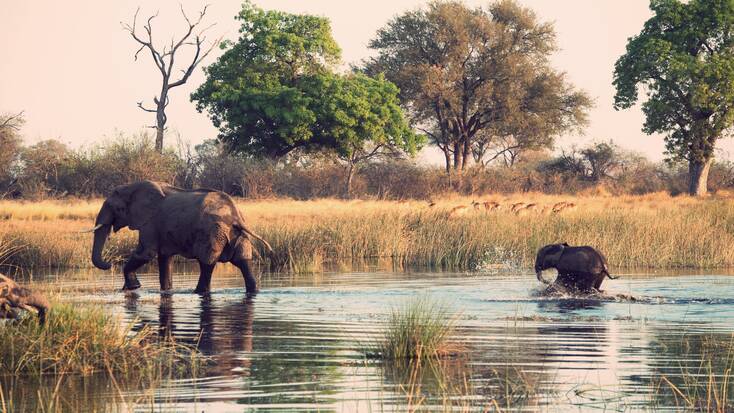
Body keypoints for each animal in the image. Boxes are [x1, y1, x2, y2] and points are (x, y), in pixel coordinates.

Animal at [88, 180, 274, 292]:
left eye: (115, 208)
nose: (110, 263)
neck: (132, 187)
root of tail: (235, 216)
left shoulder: (150, 222)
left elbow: (146, 253)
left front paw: (133, 287)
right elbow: (164, 258)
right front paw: (166, 290)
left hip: (212, 233)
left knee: (207, 263)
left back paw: (198, 292)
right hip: (238, 235)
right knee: (243, 262)